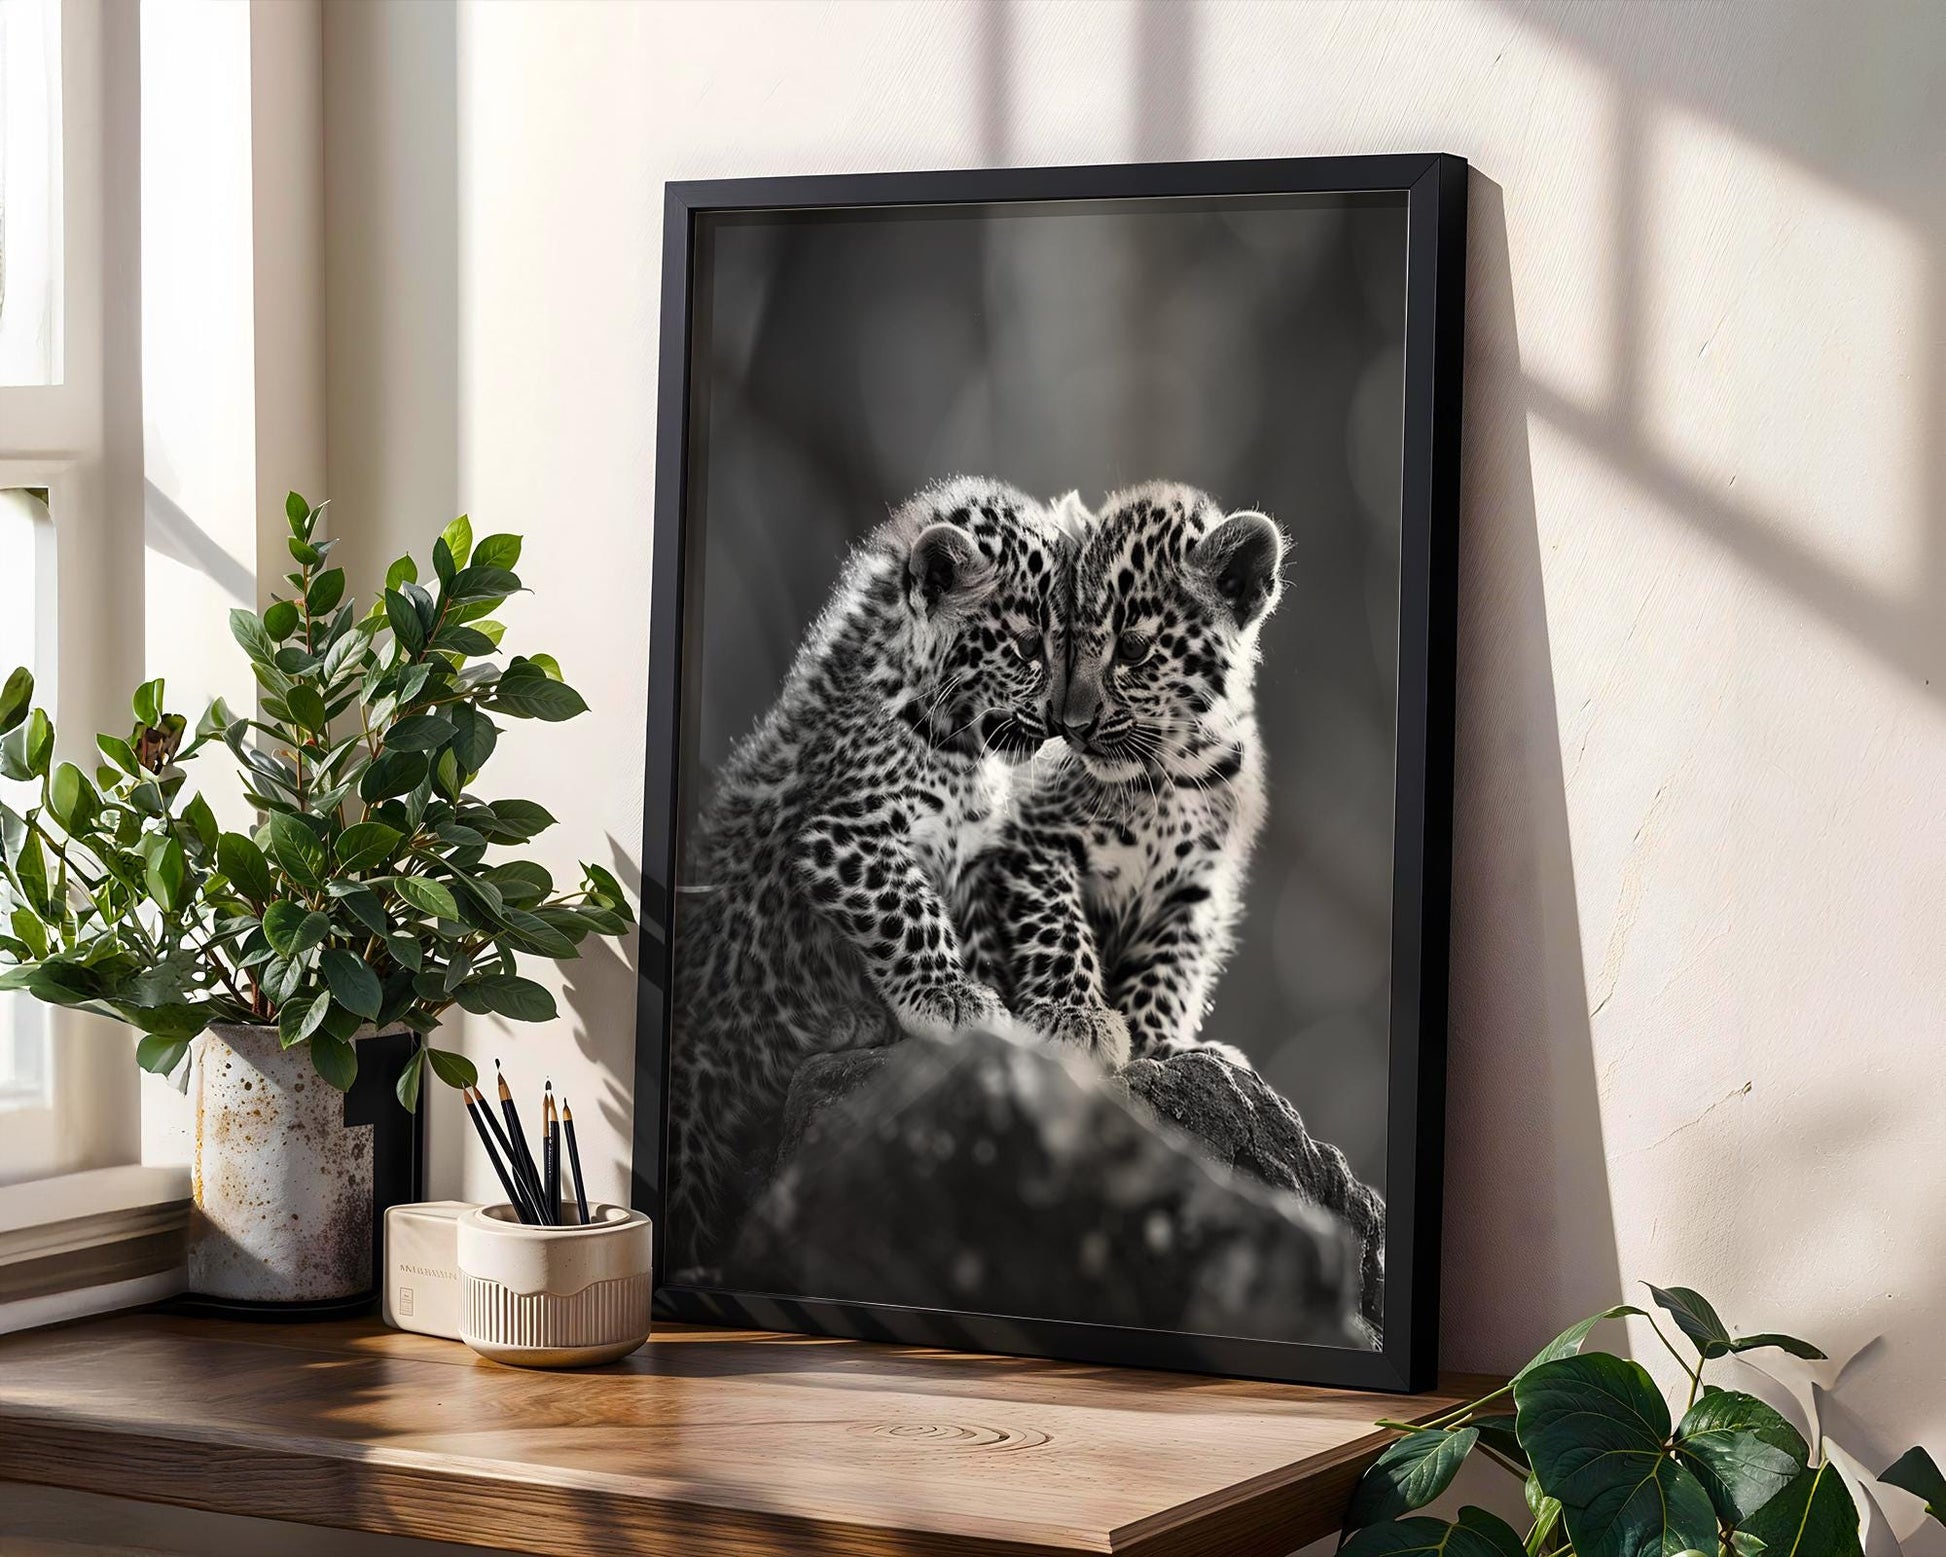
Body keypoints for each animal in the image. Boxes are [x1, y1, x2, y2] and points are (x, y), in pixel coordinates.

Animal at [667, 476, 1073, 1275]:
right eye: (1025, 646)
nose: (1063, 722)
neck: (953, 741)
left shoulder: (973, 858)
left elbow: (977, 930)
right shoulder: (844, 839)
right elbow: (910, 910)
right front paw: (951, 1000)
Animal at [957, 479, 1286, 1073]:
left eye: (1132, 648)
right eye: (1061, 644)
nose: (1072, 726)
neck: (1171, 774)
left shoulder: (1198, 887)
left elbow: (1172, 964)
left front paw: (1158, 1041)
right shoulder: (1033, 839)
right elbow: (1057, 926)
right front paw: (1078, 1018)